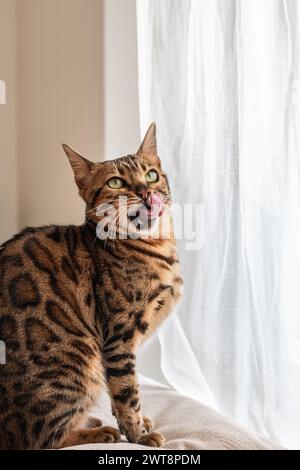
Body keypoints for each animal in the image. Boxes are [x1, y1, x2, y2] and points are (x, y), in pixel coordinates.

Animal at [0, 123, 183, 450]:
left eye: (151, 175)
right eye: (116, 182)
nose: (145, 192)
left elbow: (118, 392)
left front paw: (137, 424)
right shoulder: (118, 339)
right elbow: (127, 392)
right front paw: (138, 435)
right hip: (76, 363)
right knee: (40, 439)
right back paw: (98, 431)